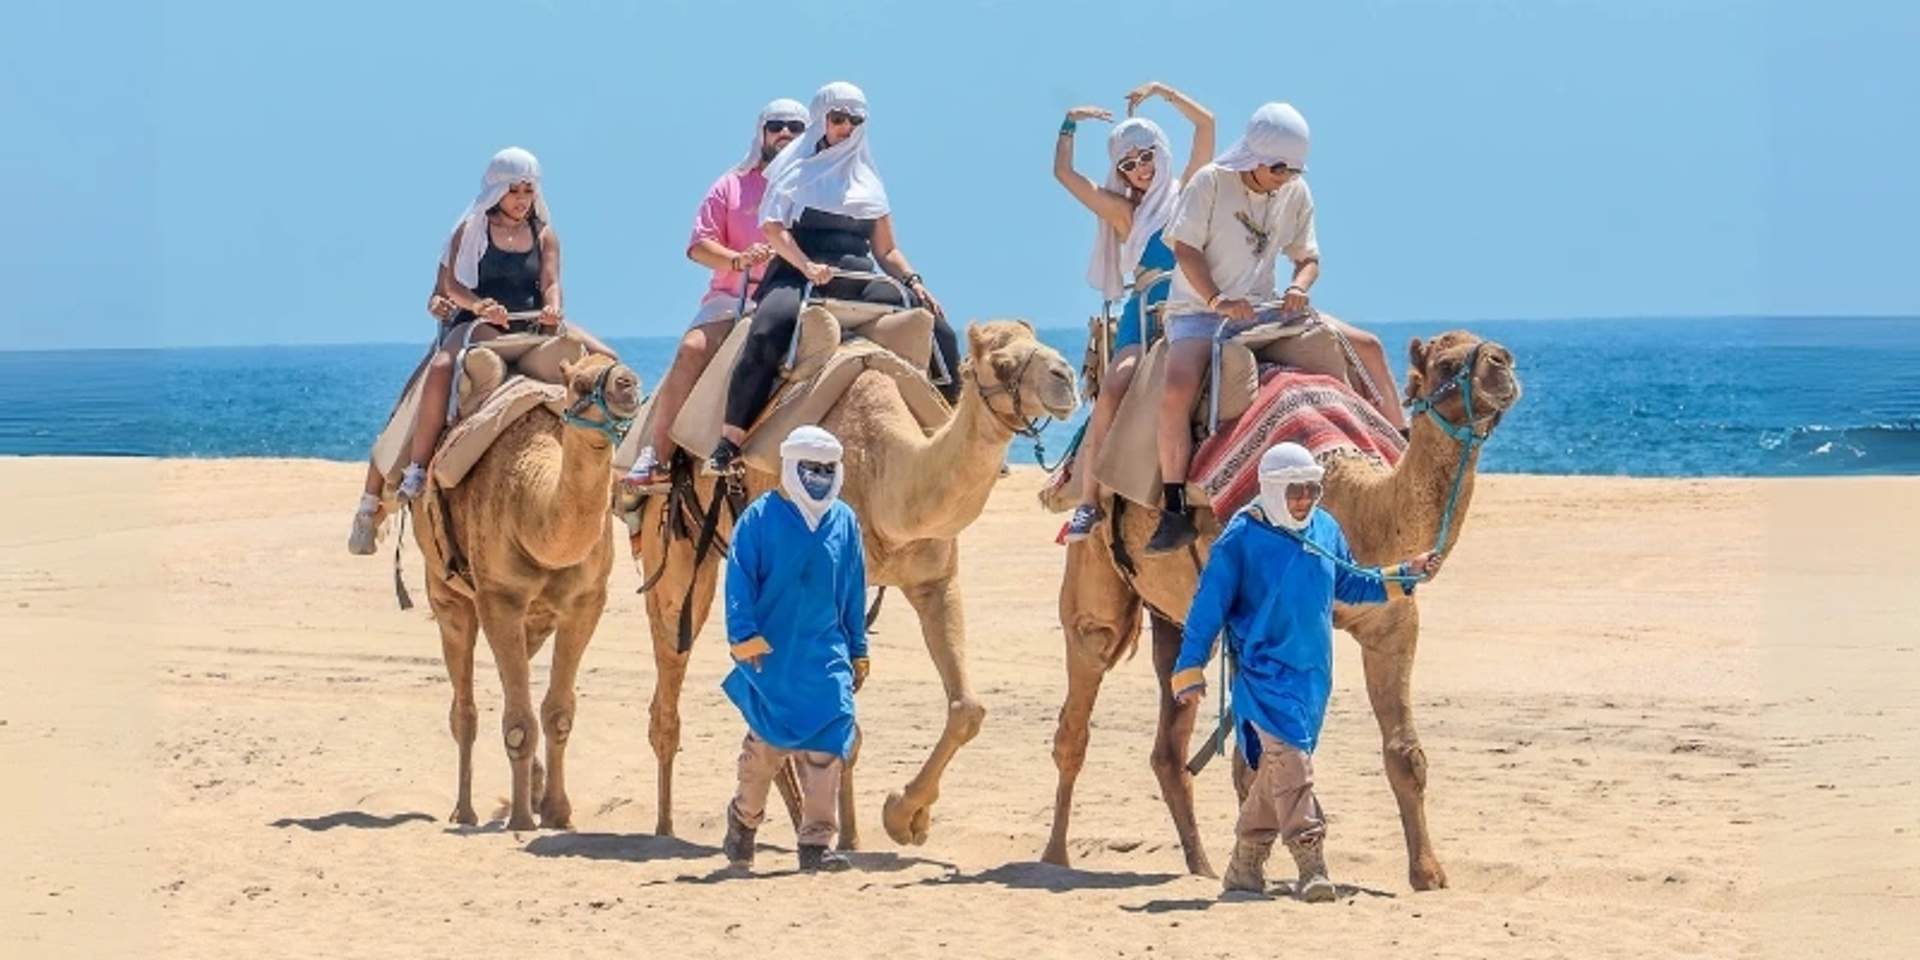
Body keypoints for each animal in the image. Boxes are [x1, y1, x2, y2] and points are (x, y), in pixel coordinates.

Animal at [412, 351, 642, 831]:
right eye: (579, 384)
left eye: (618, 364)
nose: (628, 384)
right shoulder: (499, 597)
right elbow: (519, 721)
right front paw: (520, 819)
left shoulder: (586, 602)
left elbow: (557, 714)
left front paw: (557, 813)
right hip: (446, 592)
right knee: (465, 706)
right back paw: (465, 811)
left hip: (535, 621)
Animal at [638, 319, 1078, 849]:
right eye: (1001, 362)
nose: (1065, 376)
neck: (884, 470)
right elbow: (840, 716)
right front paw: (858, 831)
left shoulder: (934, 579)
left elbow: (966, 708)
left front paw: (906, 818)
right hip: (675, 544)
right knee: (670, 672)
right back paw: (663, 828)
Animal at [1043, 330, 1521, 891]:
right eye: (1446, 363)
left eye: (1487, 346)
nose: (1503, 363)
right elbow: (1259, 759)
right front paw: (1263, 870)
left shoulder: (1392, 622)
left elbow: (1404, 752)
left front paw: (1428, 875)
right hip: (1095, 576)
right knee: (1078, 706)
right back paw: (1054, 858)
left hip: (1176, 619)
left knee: (1170, 743)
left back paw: (1200, 867)